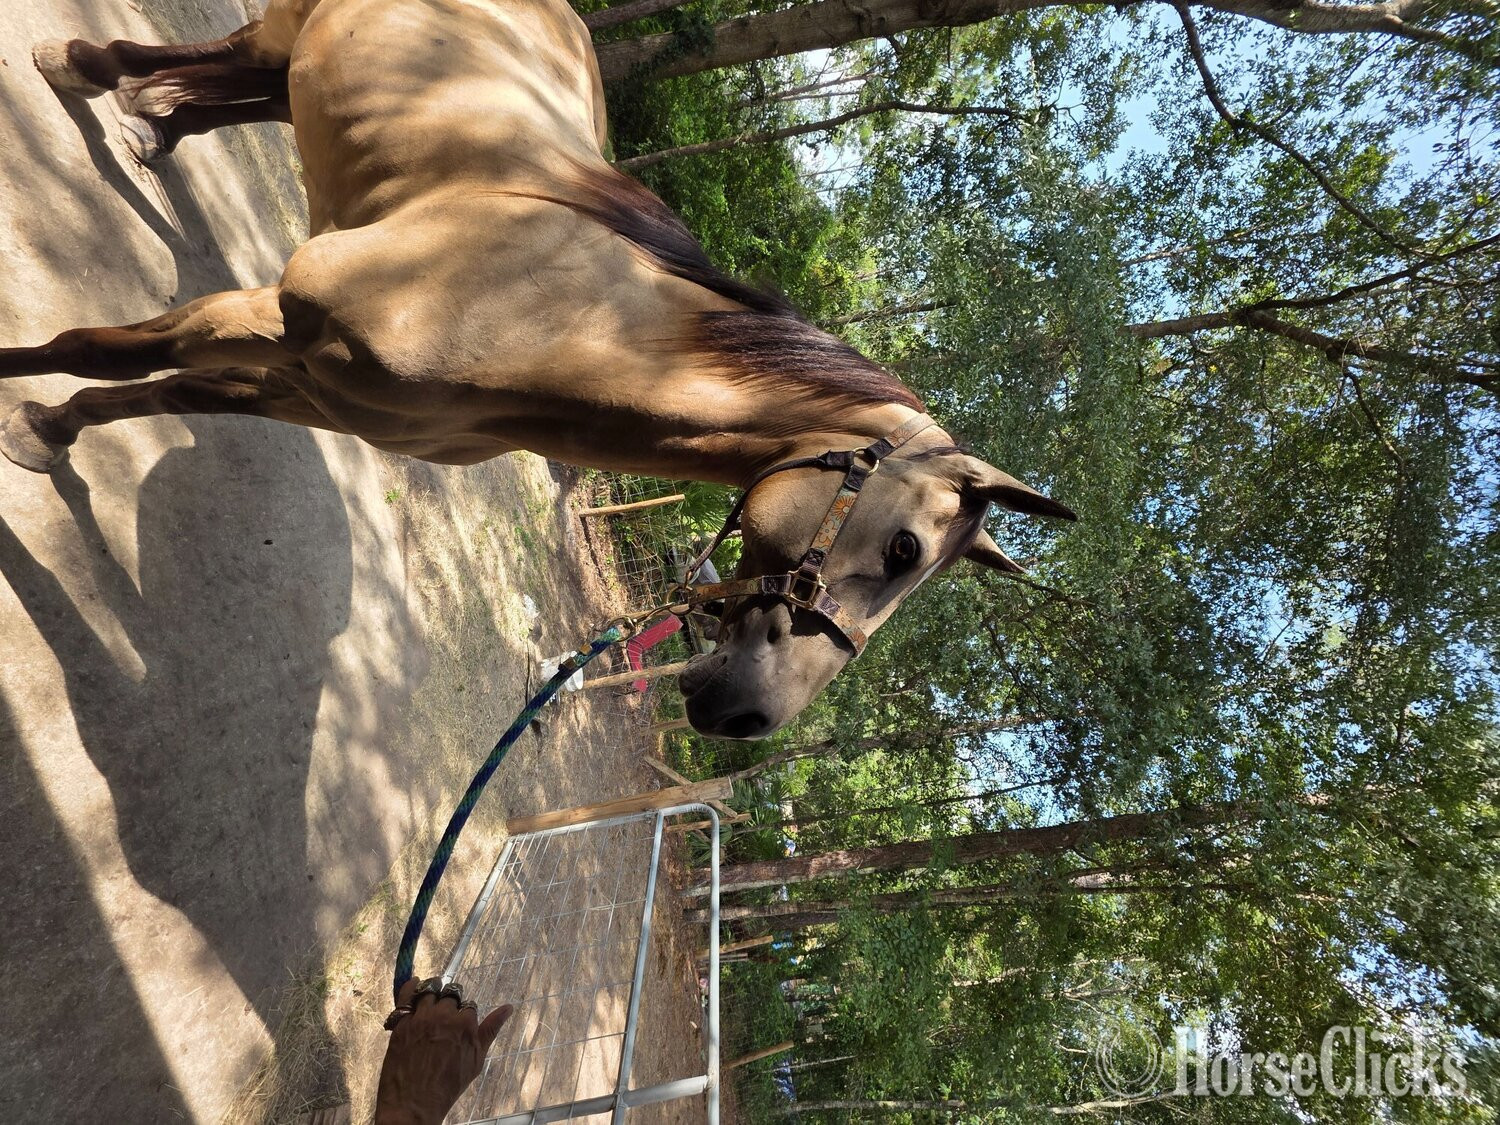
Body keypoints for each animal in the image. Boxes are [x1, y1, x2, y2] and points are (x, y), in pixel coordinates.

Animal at [1, 0, 1074, 739]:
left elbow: (167, 388)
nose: (750, 719)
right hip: (289, 30)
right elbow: (98, 348)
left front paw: (52, 431)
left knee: (233, 90)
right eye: (902, 551)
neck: (550, 323)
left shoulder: (311, 390)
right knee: (204, 60)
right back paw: (80, 68)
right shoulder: (272, 318)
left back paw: (149, 126)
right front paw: (29, 409)